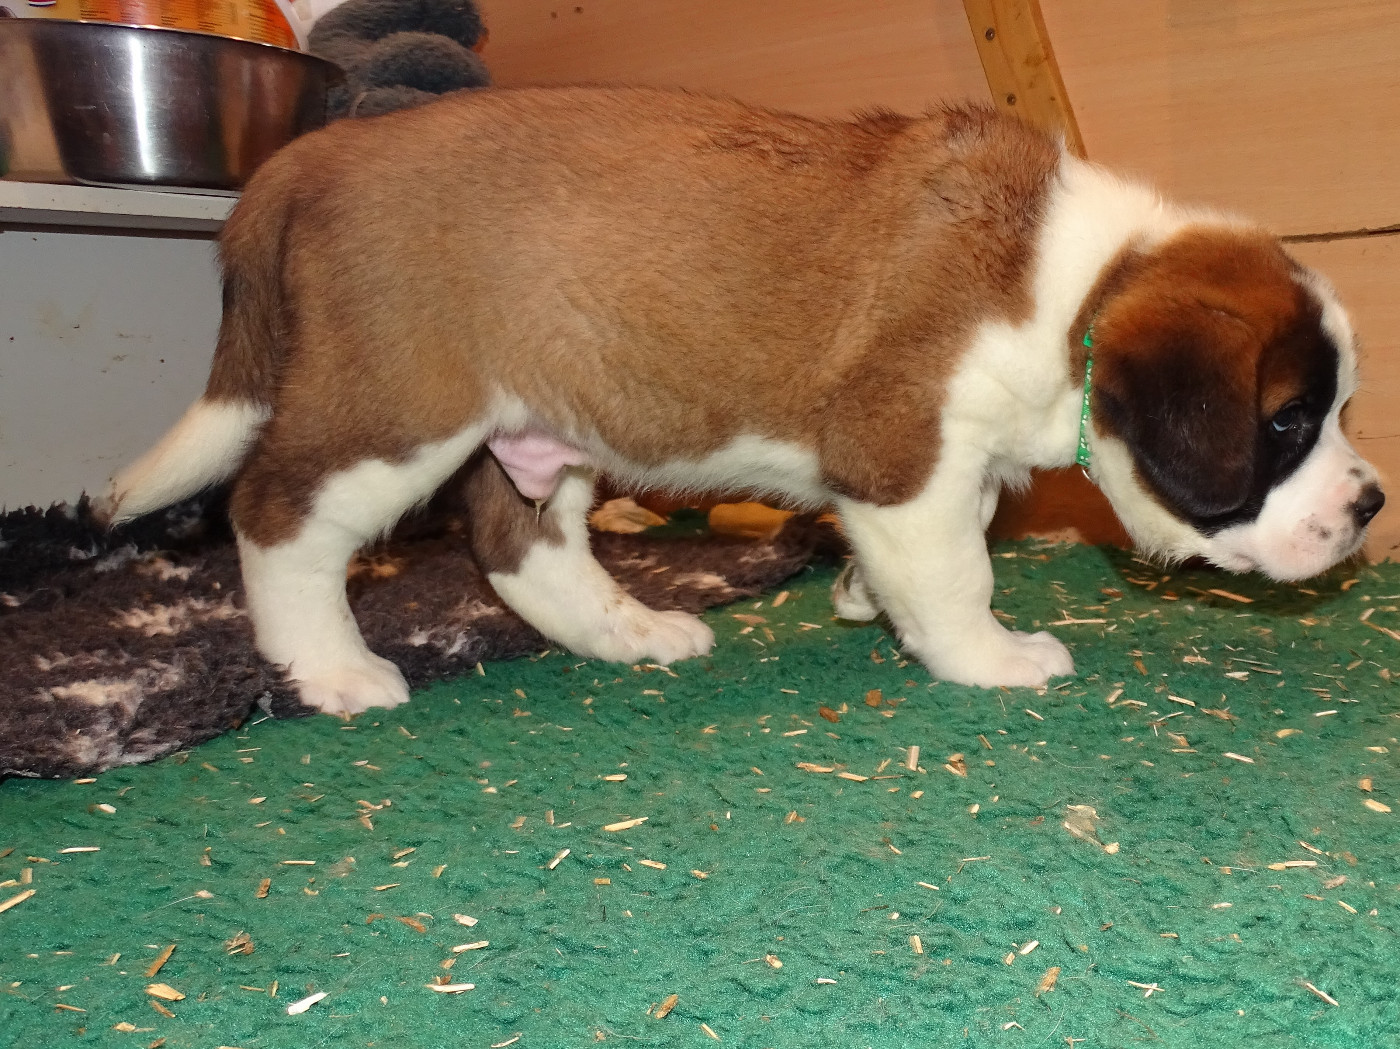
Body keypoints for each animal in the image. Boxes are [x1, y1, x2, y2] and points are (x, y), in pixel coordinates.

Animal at [99, 87, 1385, 715]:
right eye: (1284, 423)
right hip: (395, 407)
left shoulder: (942, 466)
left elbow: (946, 540)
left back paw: (631, 633)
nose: (1369, 504)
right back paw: (332, 670)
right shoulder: (902, 449)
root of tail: (313, 155)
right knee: (277, 513)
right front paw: (985, 656)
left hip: (543, 421)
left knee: (519, 546)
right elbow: (957, 566)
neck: (1070, 285)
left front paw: (866, 595)